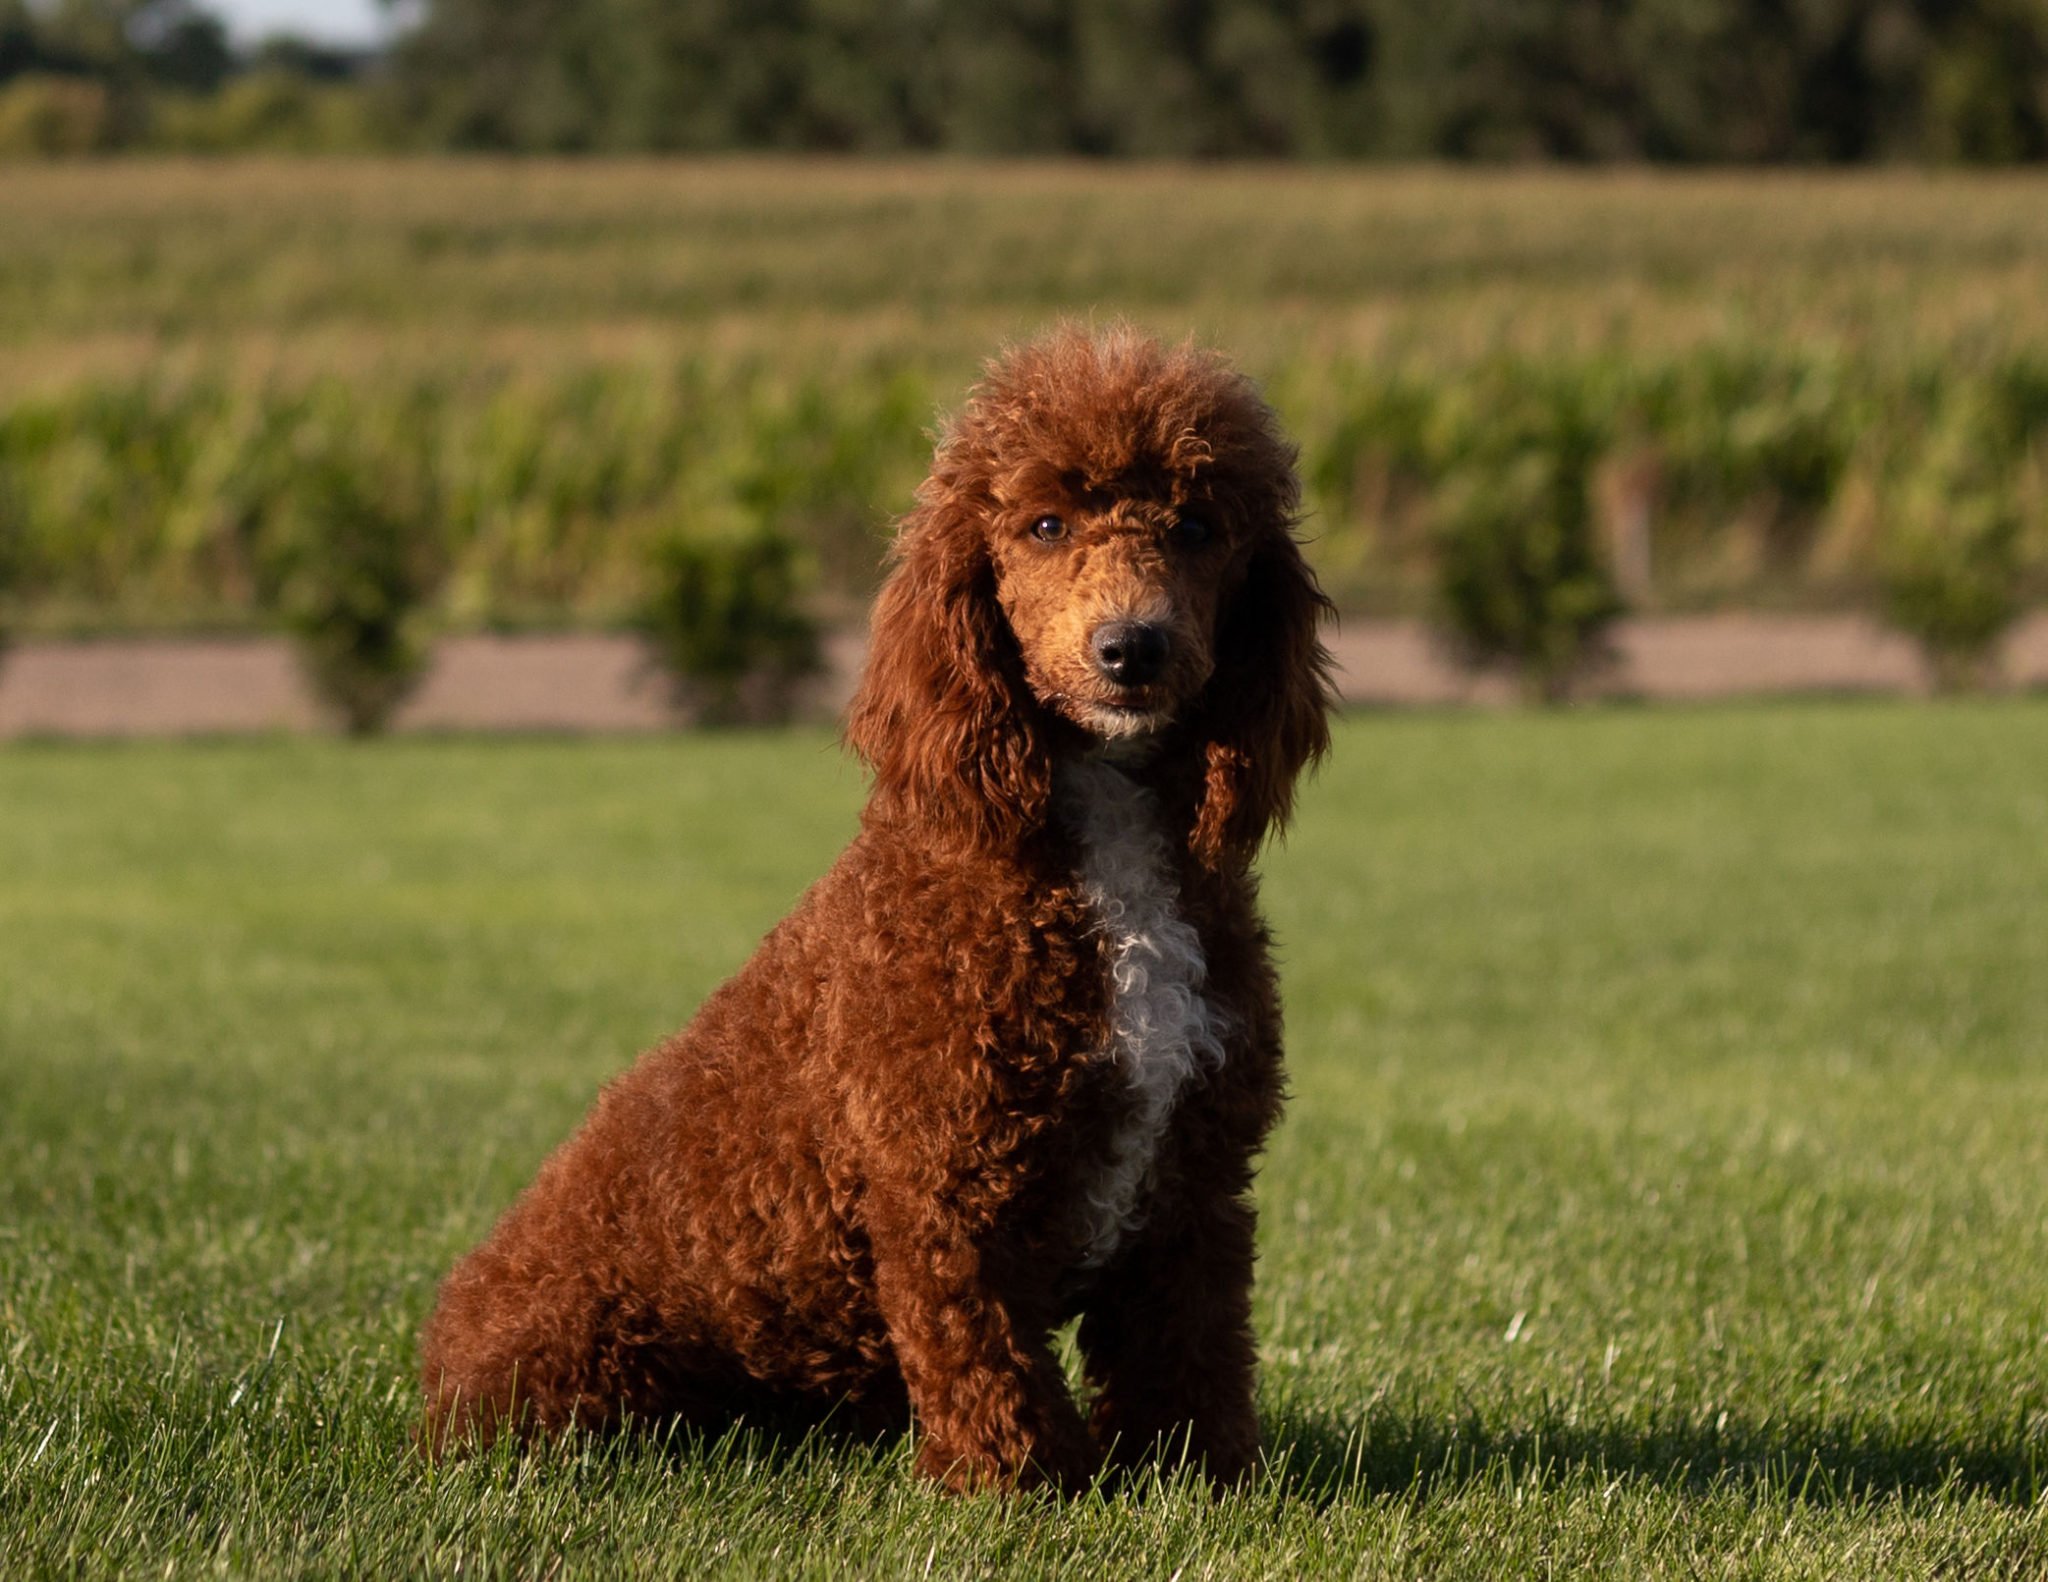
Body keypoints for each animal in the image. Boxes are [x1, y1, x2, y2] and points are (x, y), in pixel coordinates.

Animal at [423, 323, 1335, 1491]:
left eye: (1197, 527)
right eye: (1043, 524)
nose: (1132, 647)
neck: (1098, 834)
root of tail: (440, 1345)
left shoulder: (1196, 1183)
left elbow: (1193, 1352)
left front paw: (1205, 1476)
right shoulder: (942, 1181)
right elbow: (984, 1359)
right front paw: (1019, 1483)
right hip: (579, 1373)